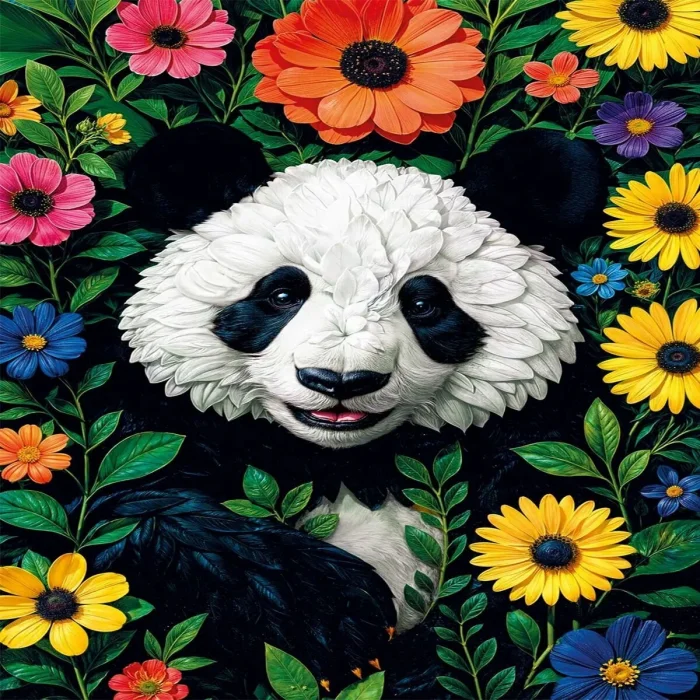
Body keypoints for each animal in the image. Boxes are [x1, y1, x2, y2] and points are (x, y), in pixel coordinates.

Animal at [79, 123, 609, 698]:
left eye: (423, 304)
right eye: (282, 294)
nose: (339, 380)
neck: (346, 460)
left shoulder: (536, 429)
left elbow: (530, 551)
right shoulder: (164, 415)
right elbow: (131, 507)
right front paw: (338, 618)